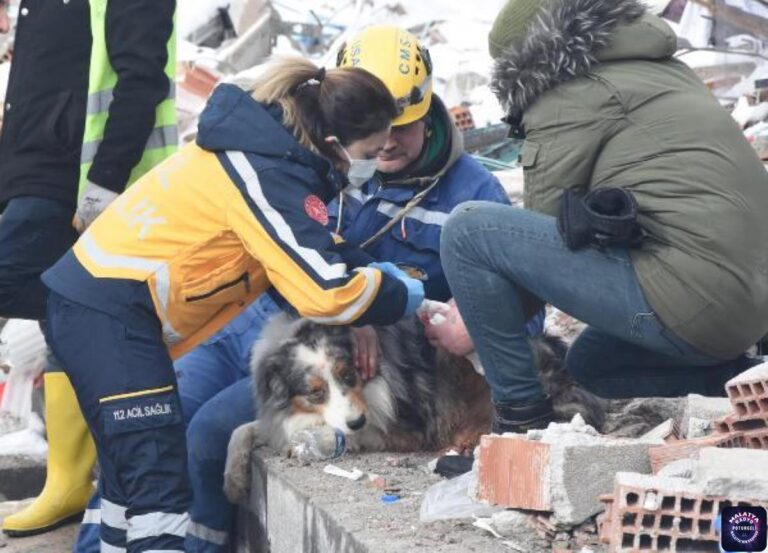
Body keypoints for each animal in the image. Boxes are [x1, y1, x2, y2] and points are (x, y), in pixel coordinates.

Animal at [222, 314, 608, 500]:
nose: (357, 421)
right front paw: (234, 480)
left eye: (348, 375)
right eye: (316, 392)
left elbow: (340, 433)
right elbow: (246, 429)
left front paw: (308, 442)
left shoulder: (399, 425)